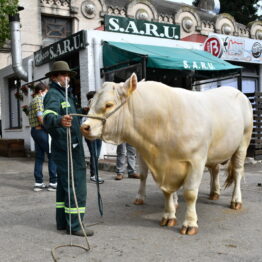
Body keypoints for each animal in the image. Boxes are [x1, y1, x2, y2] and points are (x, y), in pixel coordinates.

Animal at [81, 73, 253, 235]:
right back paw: (214, 192)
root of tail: (236, 91)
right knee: (215, 169)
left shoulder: (196, 160)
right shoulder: (157, 161)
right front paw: (168, 215)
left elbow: (190, 193)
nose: (84, 126)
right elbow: (164, 189)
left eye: (108, 105)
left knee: (237, 172)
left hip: (243, 142)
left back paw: (236, 201)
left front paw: (190, 223)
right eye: (90, 104)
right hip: (215, 150)